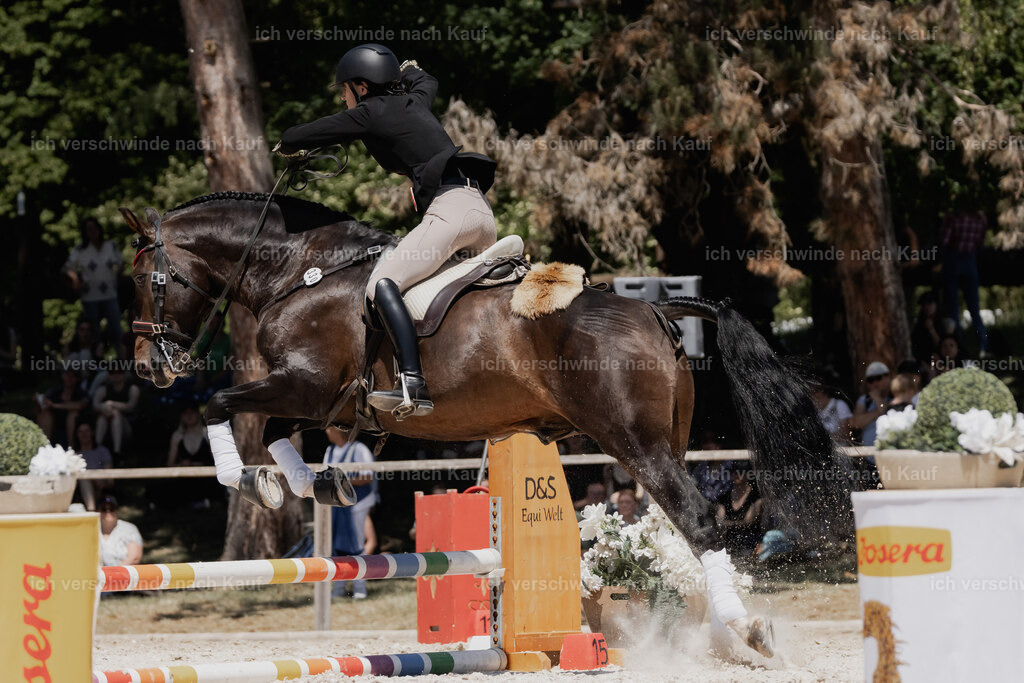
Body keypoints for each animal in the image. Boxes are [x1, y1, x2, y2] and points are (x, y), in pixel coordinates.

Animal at [121, 191, 853, 557]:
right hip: (663, 438)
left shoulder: (305, 382)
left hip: (635, 442)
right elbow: (273, 432)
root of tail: (653, 307)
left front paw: (250, 480)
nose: (149, 367)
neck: (298, 269)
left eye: (145, 279)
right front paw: (306, 484)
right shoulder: (322, 401)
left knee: (697, 520)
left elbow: (220, 404)